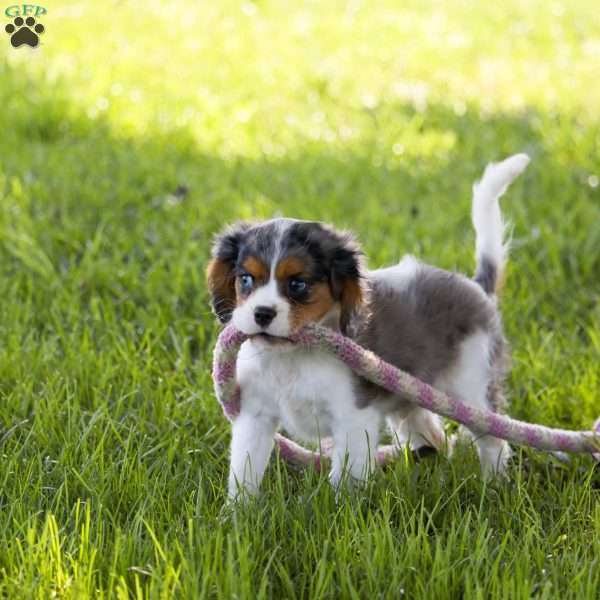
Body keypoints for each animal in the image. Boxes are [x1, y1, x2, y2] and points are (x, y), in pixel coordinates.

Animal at [207, 154, 528, 496]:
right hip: (410, 401)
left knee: (494, 441)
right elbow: (244, 473)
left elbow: (345, 480)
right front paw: (239, 509)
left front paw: (338, 508)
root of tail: (476, 286)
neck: (292, 358)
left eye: (297, 284)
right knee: (435, 437)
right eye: (246, 279)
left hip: (472, 389)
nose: (262, 314)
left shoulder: (353, 418)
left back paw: (493, 486)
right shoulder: (254, 416)